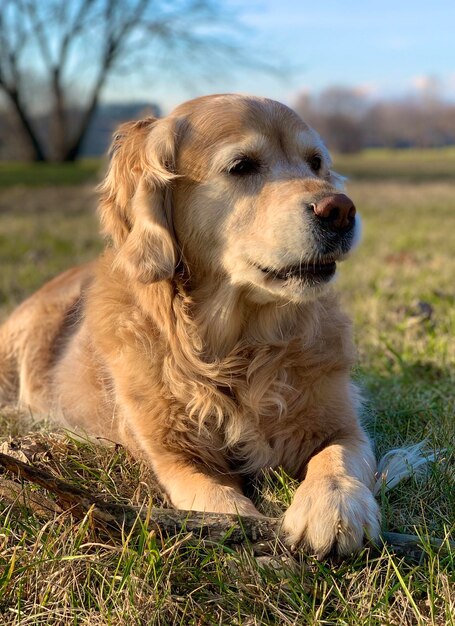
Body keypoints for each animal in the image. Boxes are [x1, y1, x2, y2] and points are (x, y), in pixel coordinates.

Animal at [0, 96, 382, 556]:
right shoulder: (173, 456)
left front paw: (333, 507)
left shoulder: (342, 422)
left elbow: (336, 455)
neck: (237, 346)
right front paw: (245, 529)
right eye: (241, 166)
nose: (340, 209)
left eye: (315, 163)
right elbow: (214, 498)